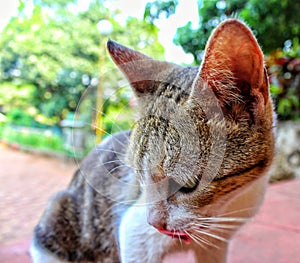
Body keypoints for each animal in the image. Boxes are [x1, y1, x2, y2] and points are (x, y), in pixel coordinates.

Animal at [29, 19, 274, 263]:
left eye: (188, 185)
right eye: (139, 176)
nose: (154, 223)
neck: (225, 208)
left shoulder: (216, 245)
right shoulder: (134, 235)